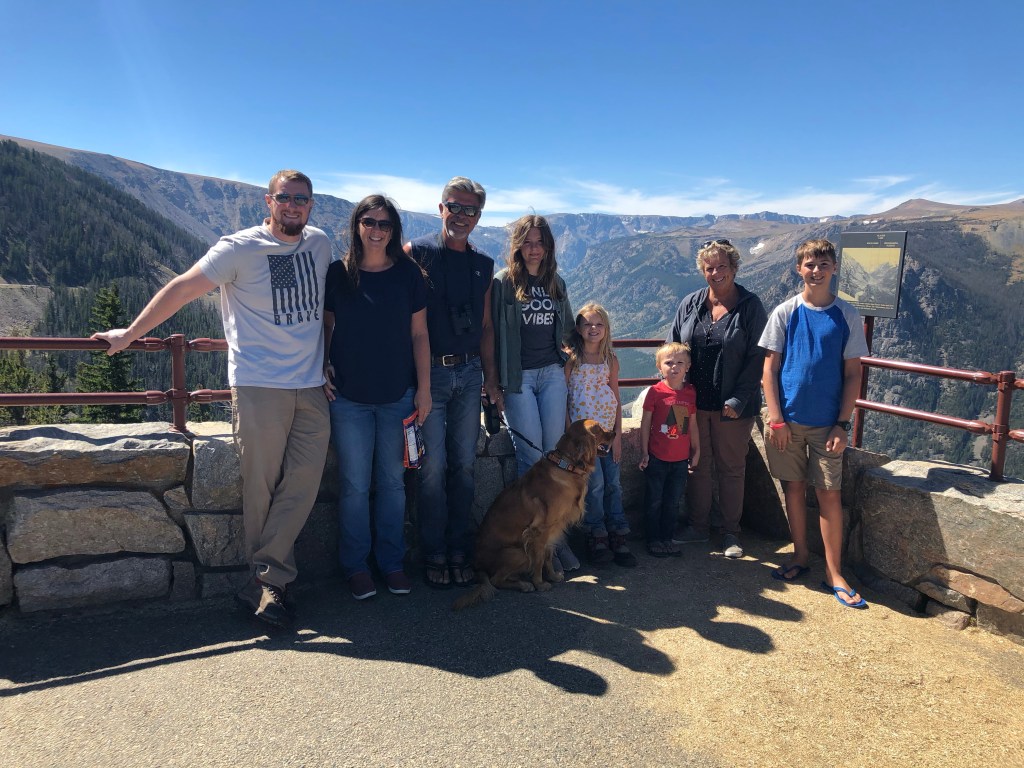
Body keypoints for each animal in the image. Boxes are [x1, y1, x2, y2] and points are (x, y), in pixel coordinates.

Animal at [453, 419, 615, 610]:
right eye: (598, 429)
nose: (614, 433)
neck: (566, 466)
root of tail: (477, 566)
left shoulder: (553, 530)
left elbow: (548, 556)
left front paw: (553, 576)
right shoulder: (538, 532)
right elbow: (538, 561)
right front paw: (540, 583)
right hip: (519, 553)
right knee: (495, 580)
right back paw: (525, 585)